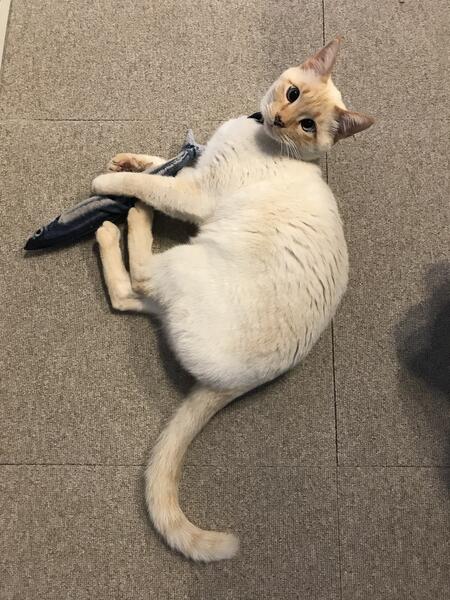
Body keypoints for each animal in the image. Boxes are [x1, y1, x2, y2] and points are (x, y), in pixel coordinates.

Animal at [92, 37, 373, 562]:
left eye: (308, 124)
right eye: (291, 93)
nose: (280, 119)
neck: (257, 133)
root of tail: (236, 383)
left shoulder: (196, 195)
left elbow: (153, 183)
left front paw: (110, 184)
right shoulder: (196, 171)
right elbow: (159, 163)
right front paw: (126, 160)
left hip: (185, 259)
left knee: (135, 278)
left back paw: (124, 221)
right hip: (175, 287)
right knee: (132, 296)